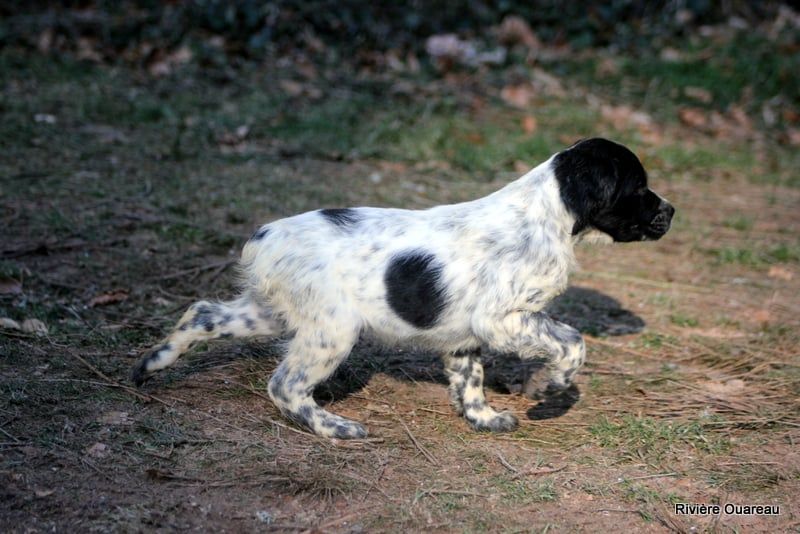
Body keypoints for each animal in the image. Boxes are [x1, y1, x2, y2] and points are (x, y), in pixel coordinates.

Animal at [133, 138, 676, 440]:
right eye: (638, 187)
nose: (671, 211)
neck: (547, 214)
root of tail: (264, 237)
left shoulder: (465, 337)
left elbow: (470, 381)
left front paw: (483, 419)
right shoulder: (503, 318)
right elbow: (572, 342)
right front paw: (551, 388)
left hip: (274, 312)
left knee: (202, 313)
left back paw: (151, 364)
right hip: (332, 331)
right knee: (284, 384)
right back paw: (336, 428)